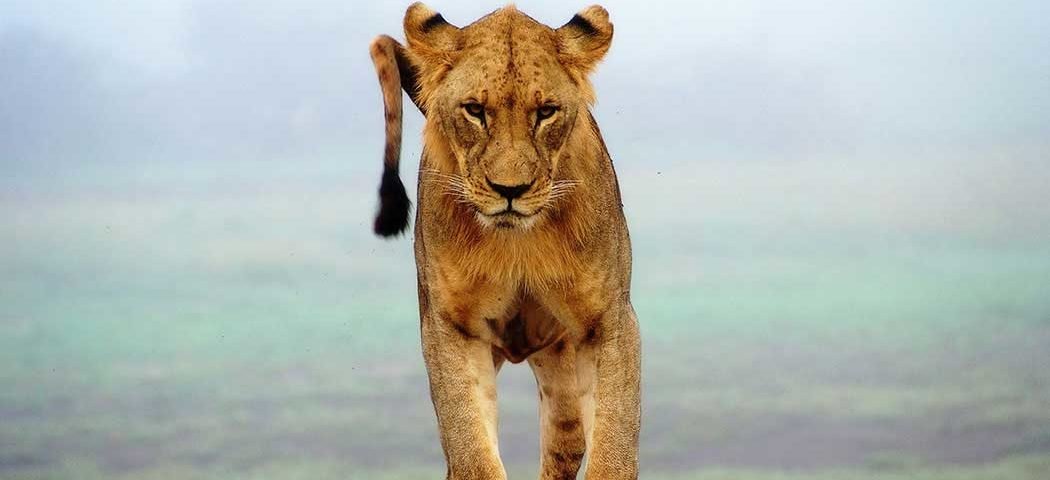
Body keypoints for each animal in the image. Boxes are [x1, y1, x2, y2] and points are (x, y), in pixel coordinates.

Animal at [368, 4, 640, 478]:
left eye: (546, 111)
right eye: (475, 110)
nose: (509, 189)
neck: (518, 245)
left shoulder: (609, 323)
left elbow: (614, 447)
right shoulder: (451, 329)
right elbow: (472, 449)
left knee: (567, 437)